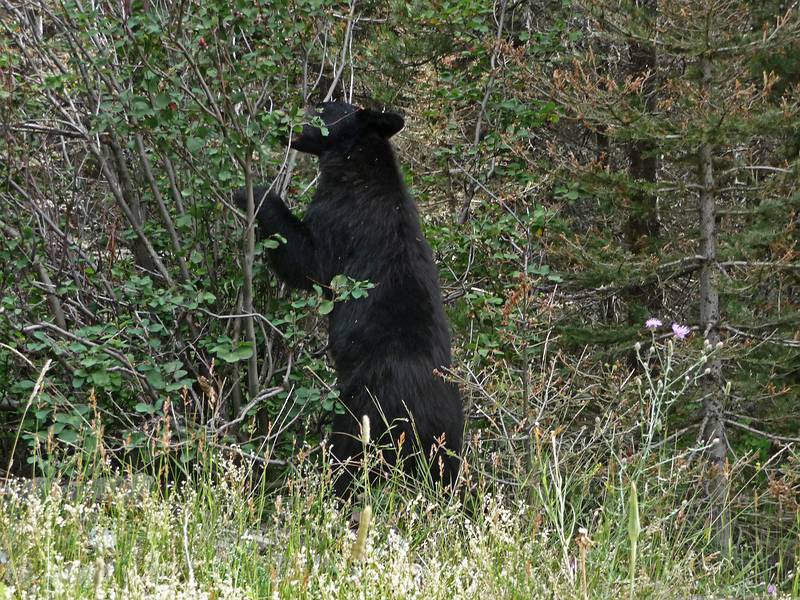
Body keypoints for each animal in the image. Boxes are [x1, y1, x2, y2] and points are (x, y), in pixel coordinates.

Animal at [234, 102, 462, 496]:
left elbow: (306, 261)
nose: (287, 124)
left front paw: (254, 194)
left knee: (347, 457)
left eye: (321, 108)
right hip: (449, 443)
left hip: (361, 412)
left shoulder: (339, 220)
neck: (357, 160)